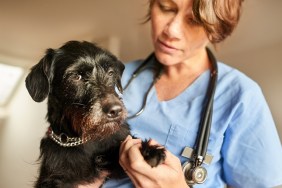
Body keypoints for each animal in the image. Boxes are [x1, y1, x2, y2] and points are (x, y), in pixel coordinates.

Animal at [25, 41, 166, 188]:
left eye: (110, 73)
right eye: (76, 76)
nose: (115, 110)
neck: (86, 138)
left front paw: (149, 150)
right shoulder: (54, 177)